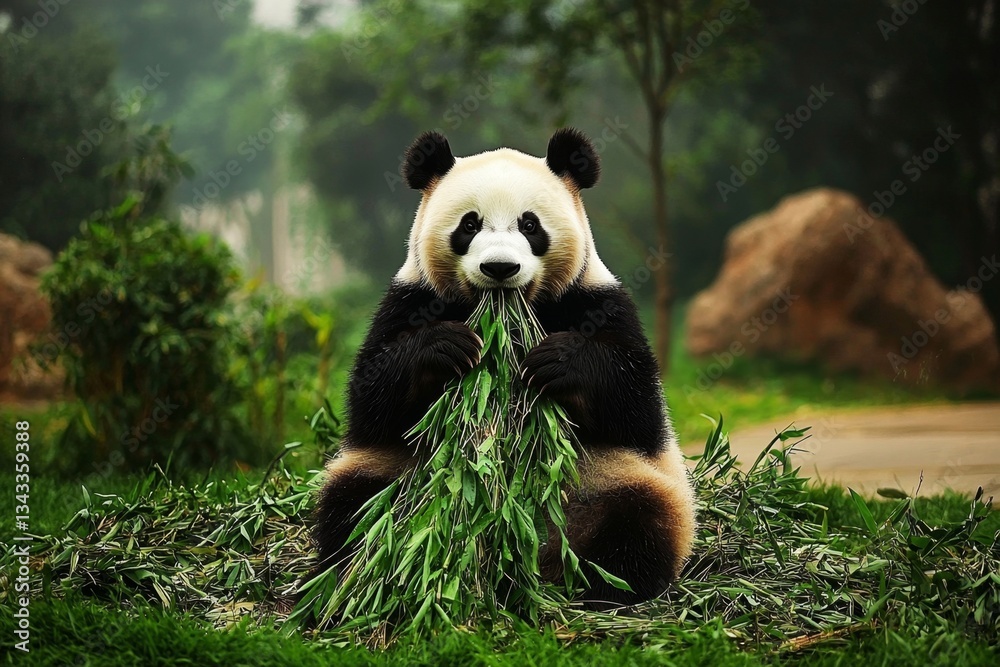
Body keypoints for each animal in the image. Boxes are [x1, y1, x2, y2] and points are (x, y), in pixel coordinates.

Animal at [309, 128, 696, 607]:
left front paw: (556, 360)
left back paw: (604, 589)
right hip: (394, 479)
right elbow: (372, 401)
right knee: (356, 509)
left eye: (530, 225)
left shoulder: (599, 301)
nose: (499, 267)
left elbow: (637, 408)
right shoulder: (408, 300)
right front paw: (446, 346)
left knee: (642, 522)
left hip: (618, 480)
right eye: (469, 225)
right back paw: (360, 580)